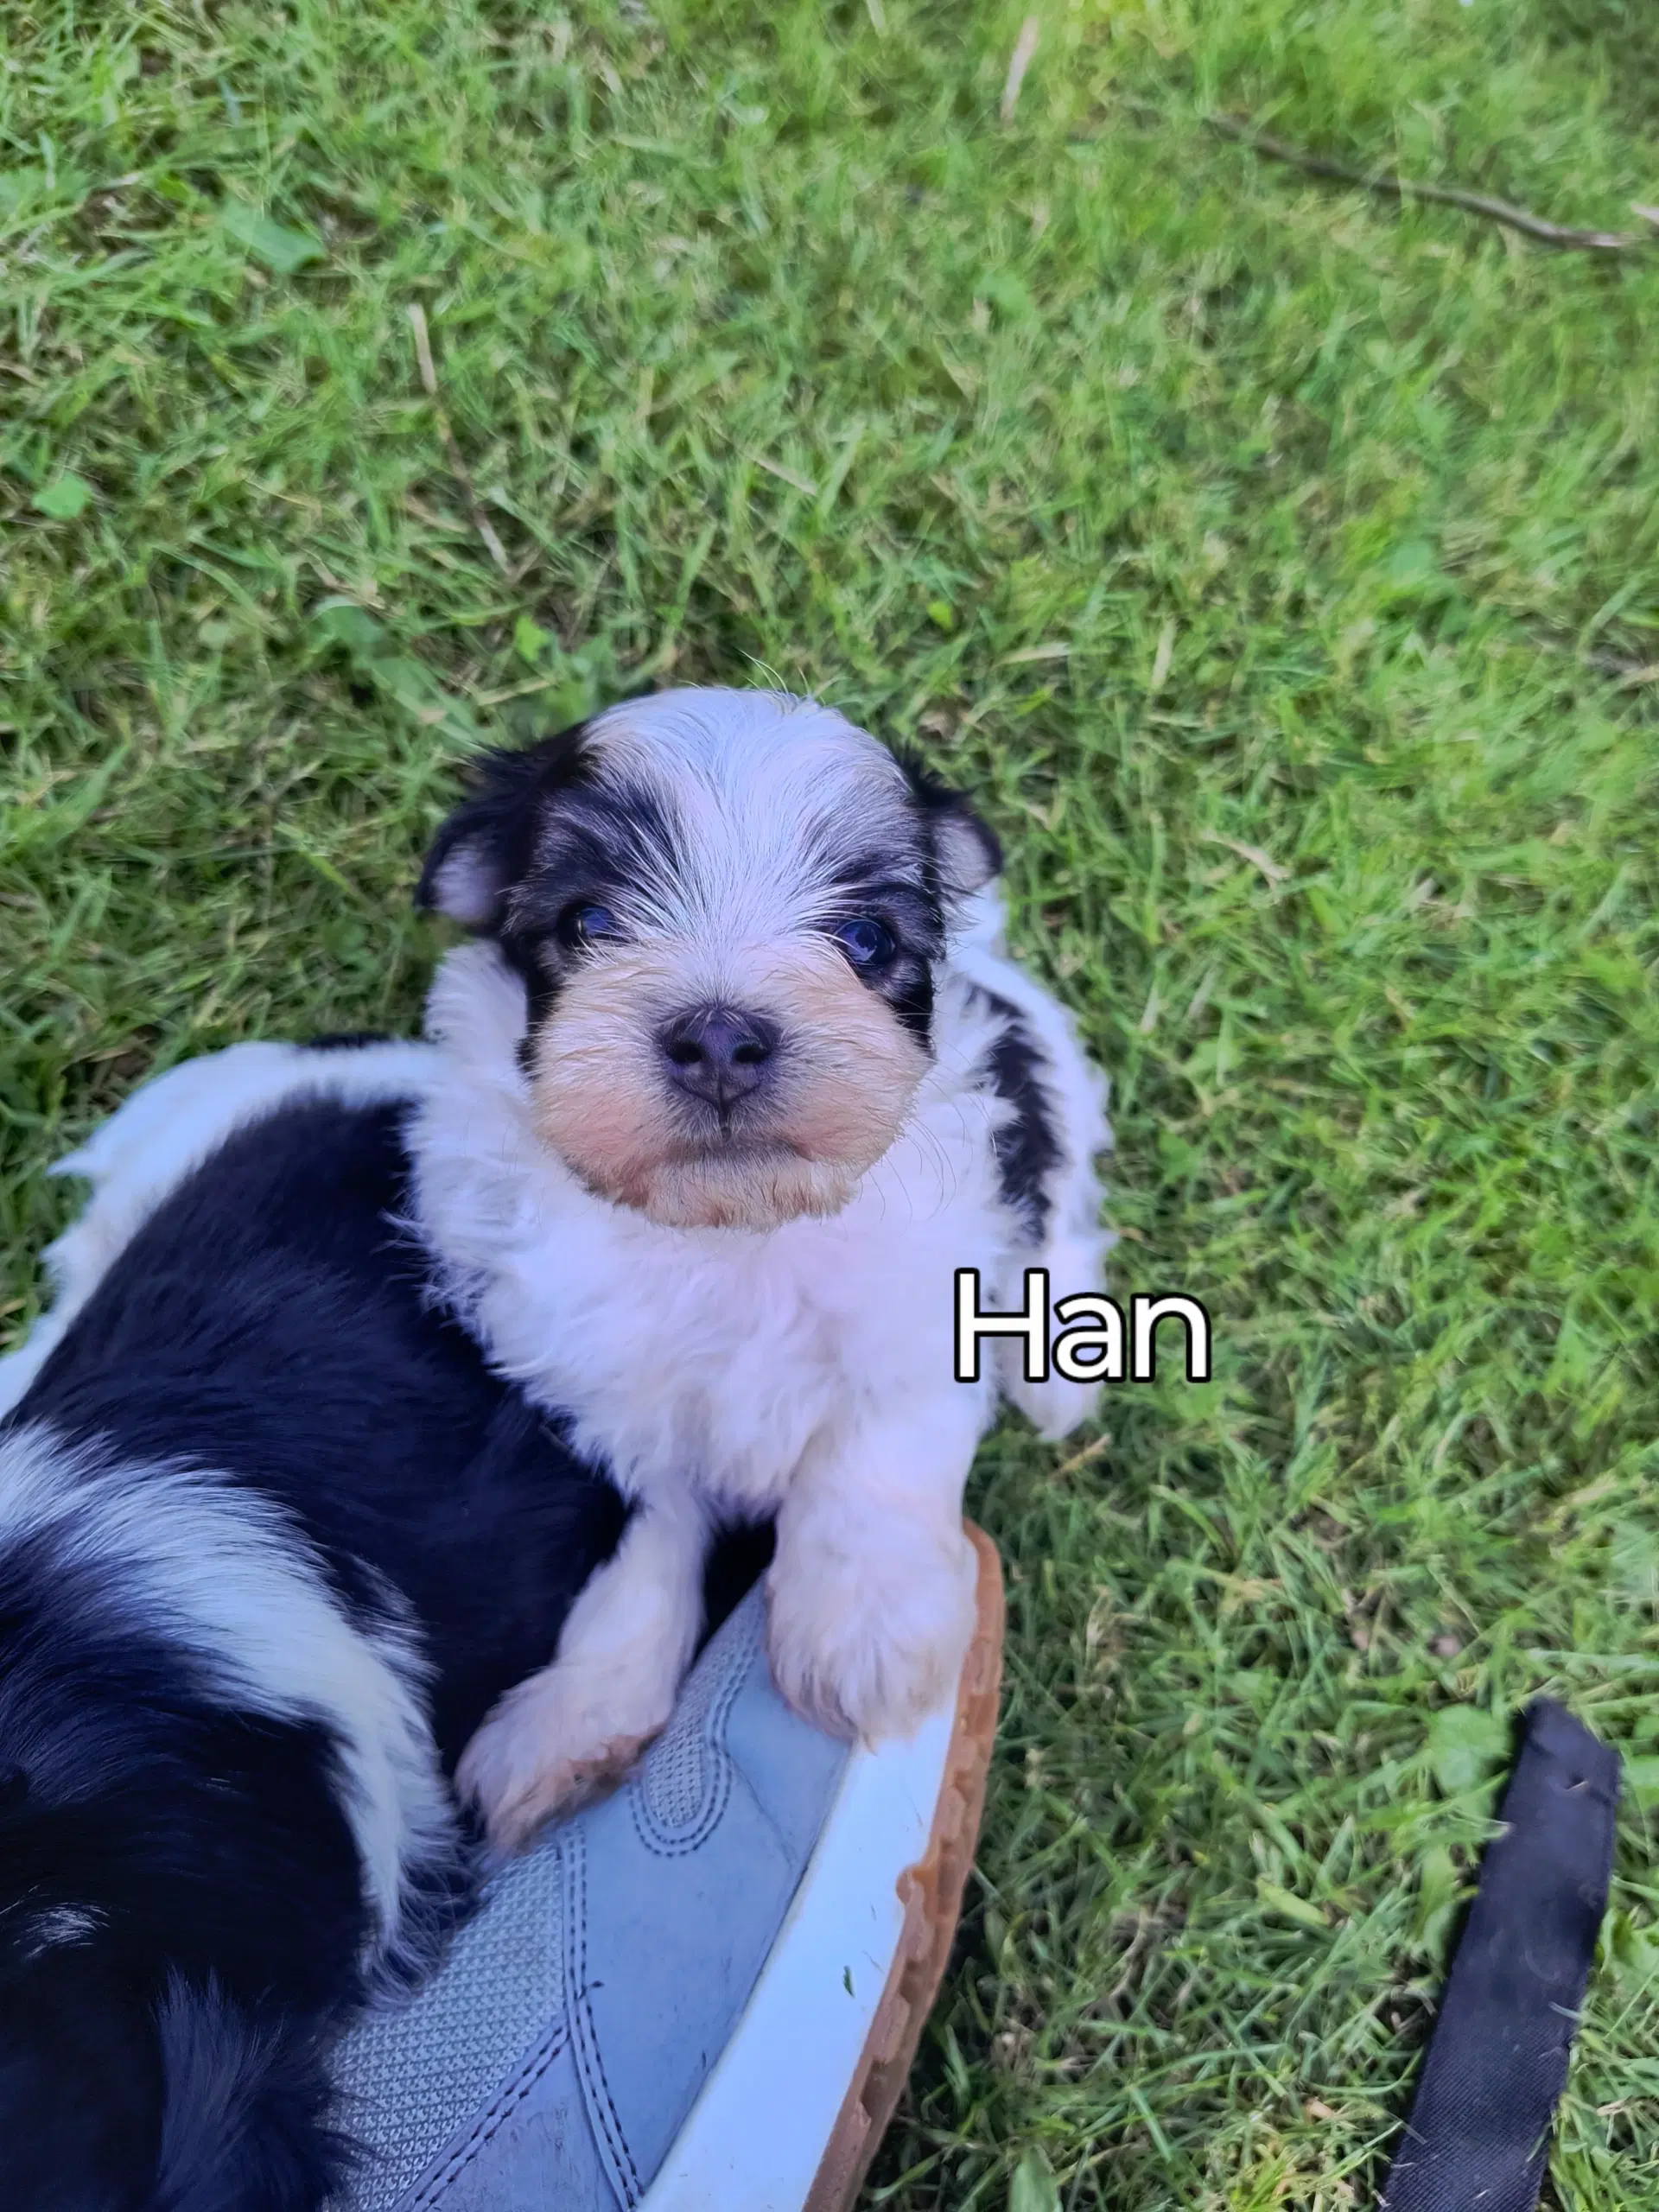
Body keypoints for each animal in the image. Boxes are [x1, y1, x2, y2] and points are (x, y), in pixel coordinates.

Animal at [3, 681, 1119, 2202]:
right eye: (588, 923)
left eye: (867, 941)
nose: (721, 1032)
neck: (724, 1238)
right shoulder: (585, 1387)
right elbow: (645, 1540)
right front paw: (577, 1729)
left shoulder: (921, 1295)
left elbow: (874, 1459)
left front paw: (860, 1637)